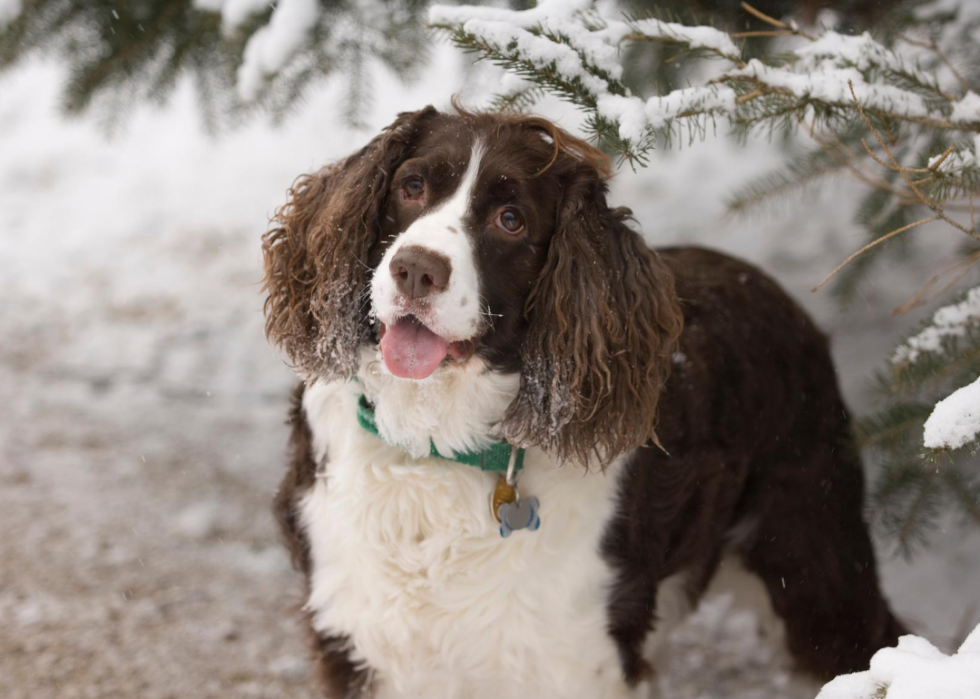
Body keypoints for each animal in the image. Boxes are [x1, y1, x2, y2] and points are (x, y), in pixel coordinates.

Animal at [262, 105, 904, 699]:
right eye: (411, 186)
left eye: (511, 220)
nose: (415, 269)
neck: (436, 447)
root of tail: (774, 289)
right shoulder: (354, 636)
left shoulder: (579, 656)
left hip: (812, 556)